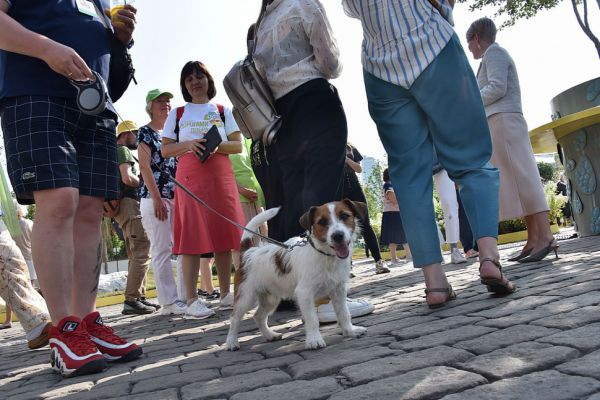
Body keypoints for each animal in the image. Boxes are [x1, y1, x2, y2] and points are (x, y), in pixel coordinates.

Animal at [224, 199, 368, 350]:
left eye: (344, 216)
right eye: (322, 222)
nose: (338, 236)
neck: (324, 255)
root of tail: (248, 252)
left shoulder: (338, 291)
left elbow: (344, 313)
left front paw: (350, 331)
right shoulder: (305, 293)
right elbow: (312, 319)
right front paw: (314, 340)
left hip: (270, 299)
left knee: (258, 316)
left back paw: (270, 335)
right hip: (245, 297)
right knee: (234, 318)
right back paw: (231, 342)